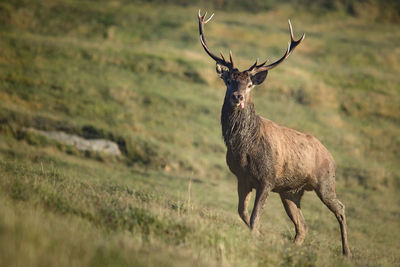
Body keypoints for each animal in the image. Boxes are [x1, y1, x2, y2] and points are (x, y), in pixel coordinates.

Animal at [198, 11, 350, 258]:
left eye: (250, 84)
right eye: (229, 81)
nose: (238, 97)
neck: (243, 149)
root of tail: (331, 156)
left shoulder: (267, 178)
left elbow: (253, 216)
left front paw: (255, 237)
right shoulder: (242, 177)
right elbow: (242, 212)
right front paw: (259, 236)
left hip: (325, 181)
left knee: (341, 209)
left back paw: (347, 252)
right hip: (290, 192)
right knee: (302, 226)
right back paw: (294, 247)